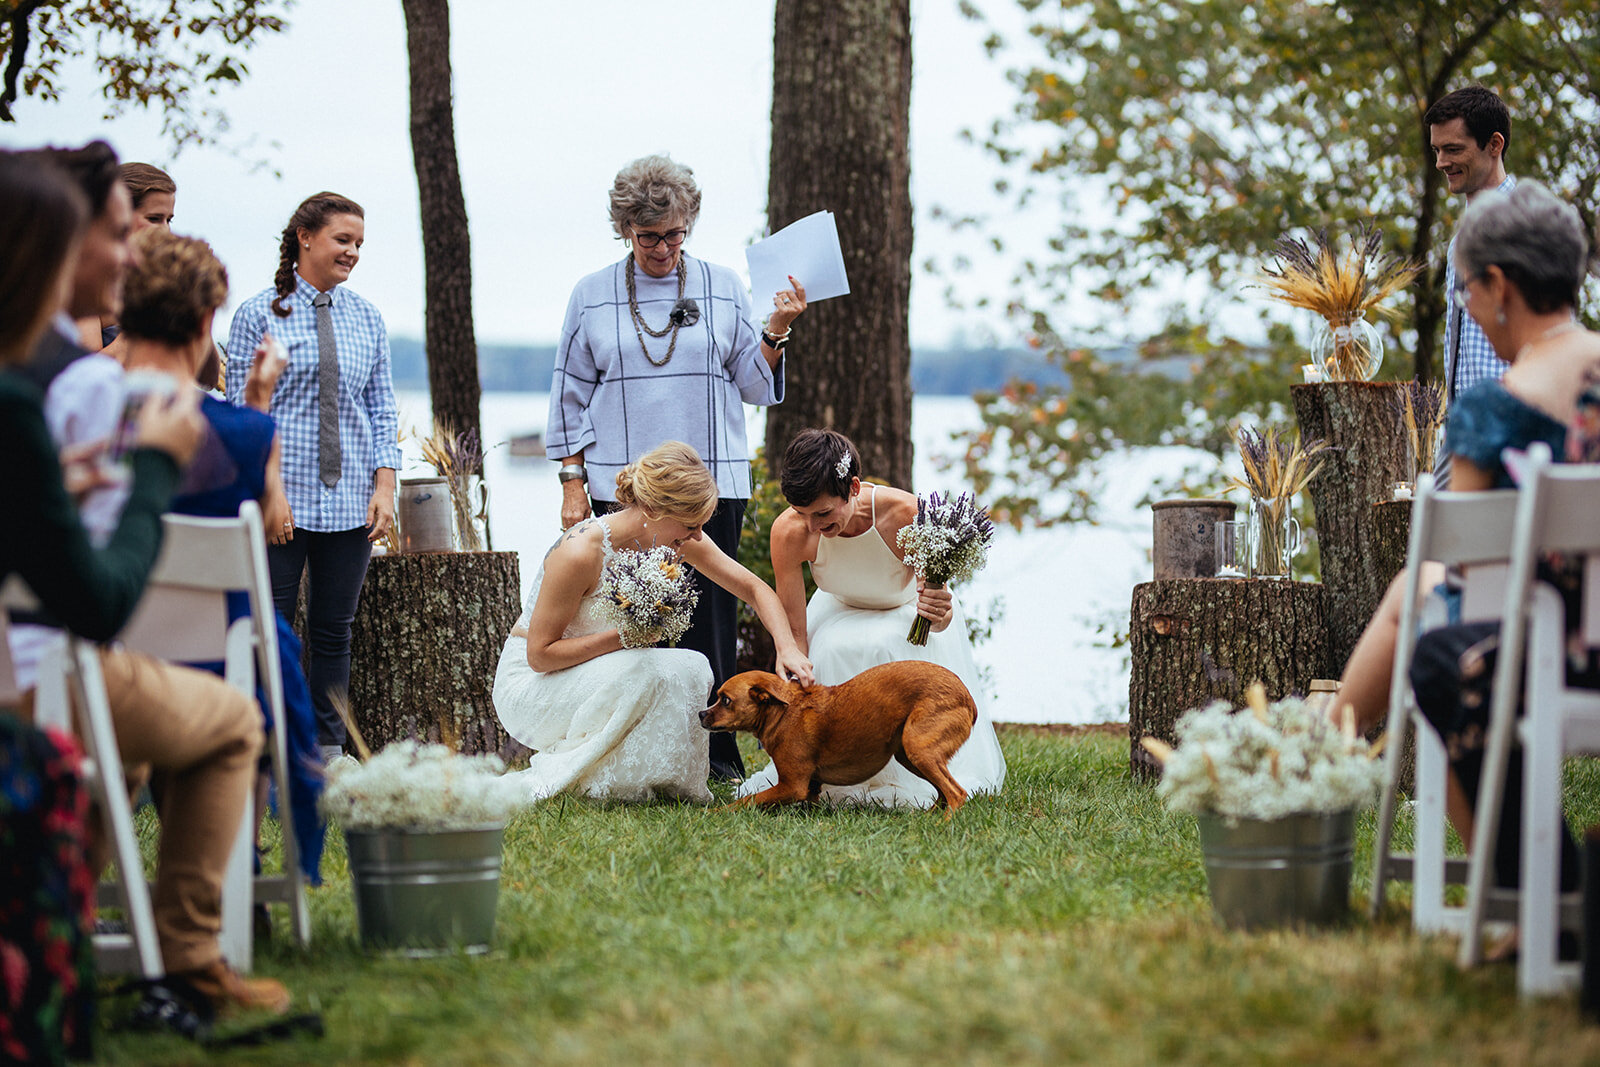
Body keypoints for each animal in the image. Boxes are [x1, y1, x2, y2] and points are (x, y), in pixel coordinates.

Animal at [700, 659, 972, 809]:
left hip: (917, 750)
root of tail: (969, 700)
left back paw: (942, 825)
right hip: (909, 755)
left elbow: (748, 800)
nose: (701, 714)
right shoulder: (809, 787)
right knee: (943, 792)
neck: (783, 711)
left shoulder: (791, 786)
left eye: (725, 700)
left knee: (957, 793)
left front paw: (715, 813)